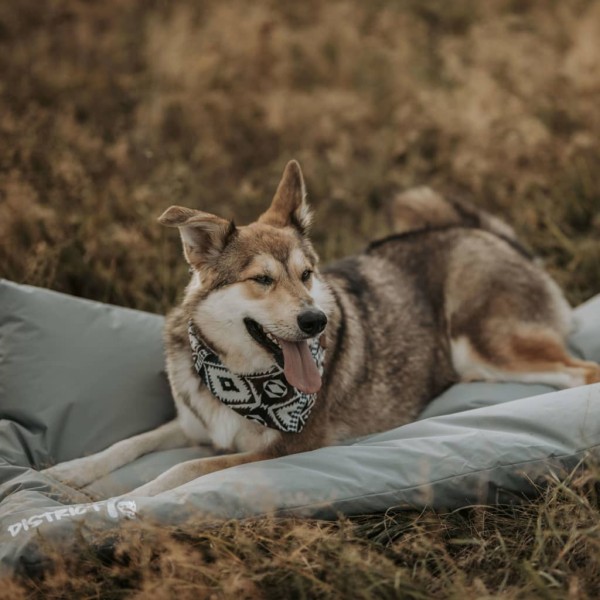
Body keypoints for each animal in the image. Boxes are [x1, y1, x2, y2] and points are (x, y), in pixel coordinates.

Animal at [45, 159, 600, 496]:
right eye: (262, 279)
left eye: (307, 274)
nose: (316, 321)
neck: (242, 378)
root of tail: (491, 236)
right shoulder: (192, 424)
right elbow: (127, 444)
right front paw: (67, 475)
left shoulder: (283, 450)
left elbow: (178, 470)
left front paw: (103, 505)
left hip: (489, 347)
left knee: (581, 372)